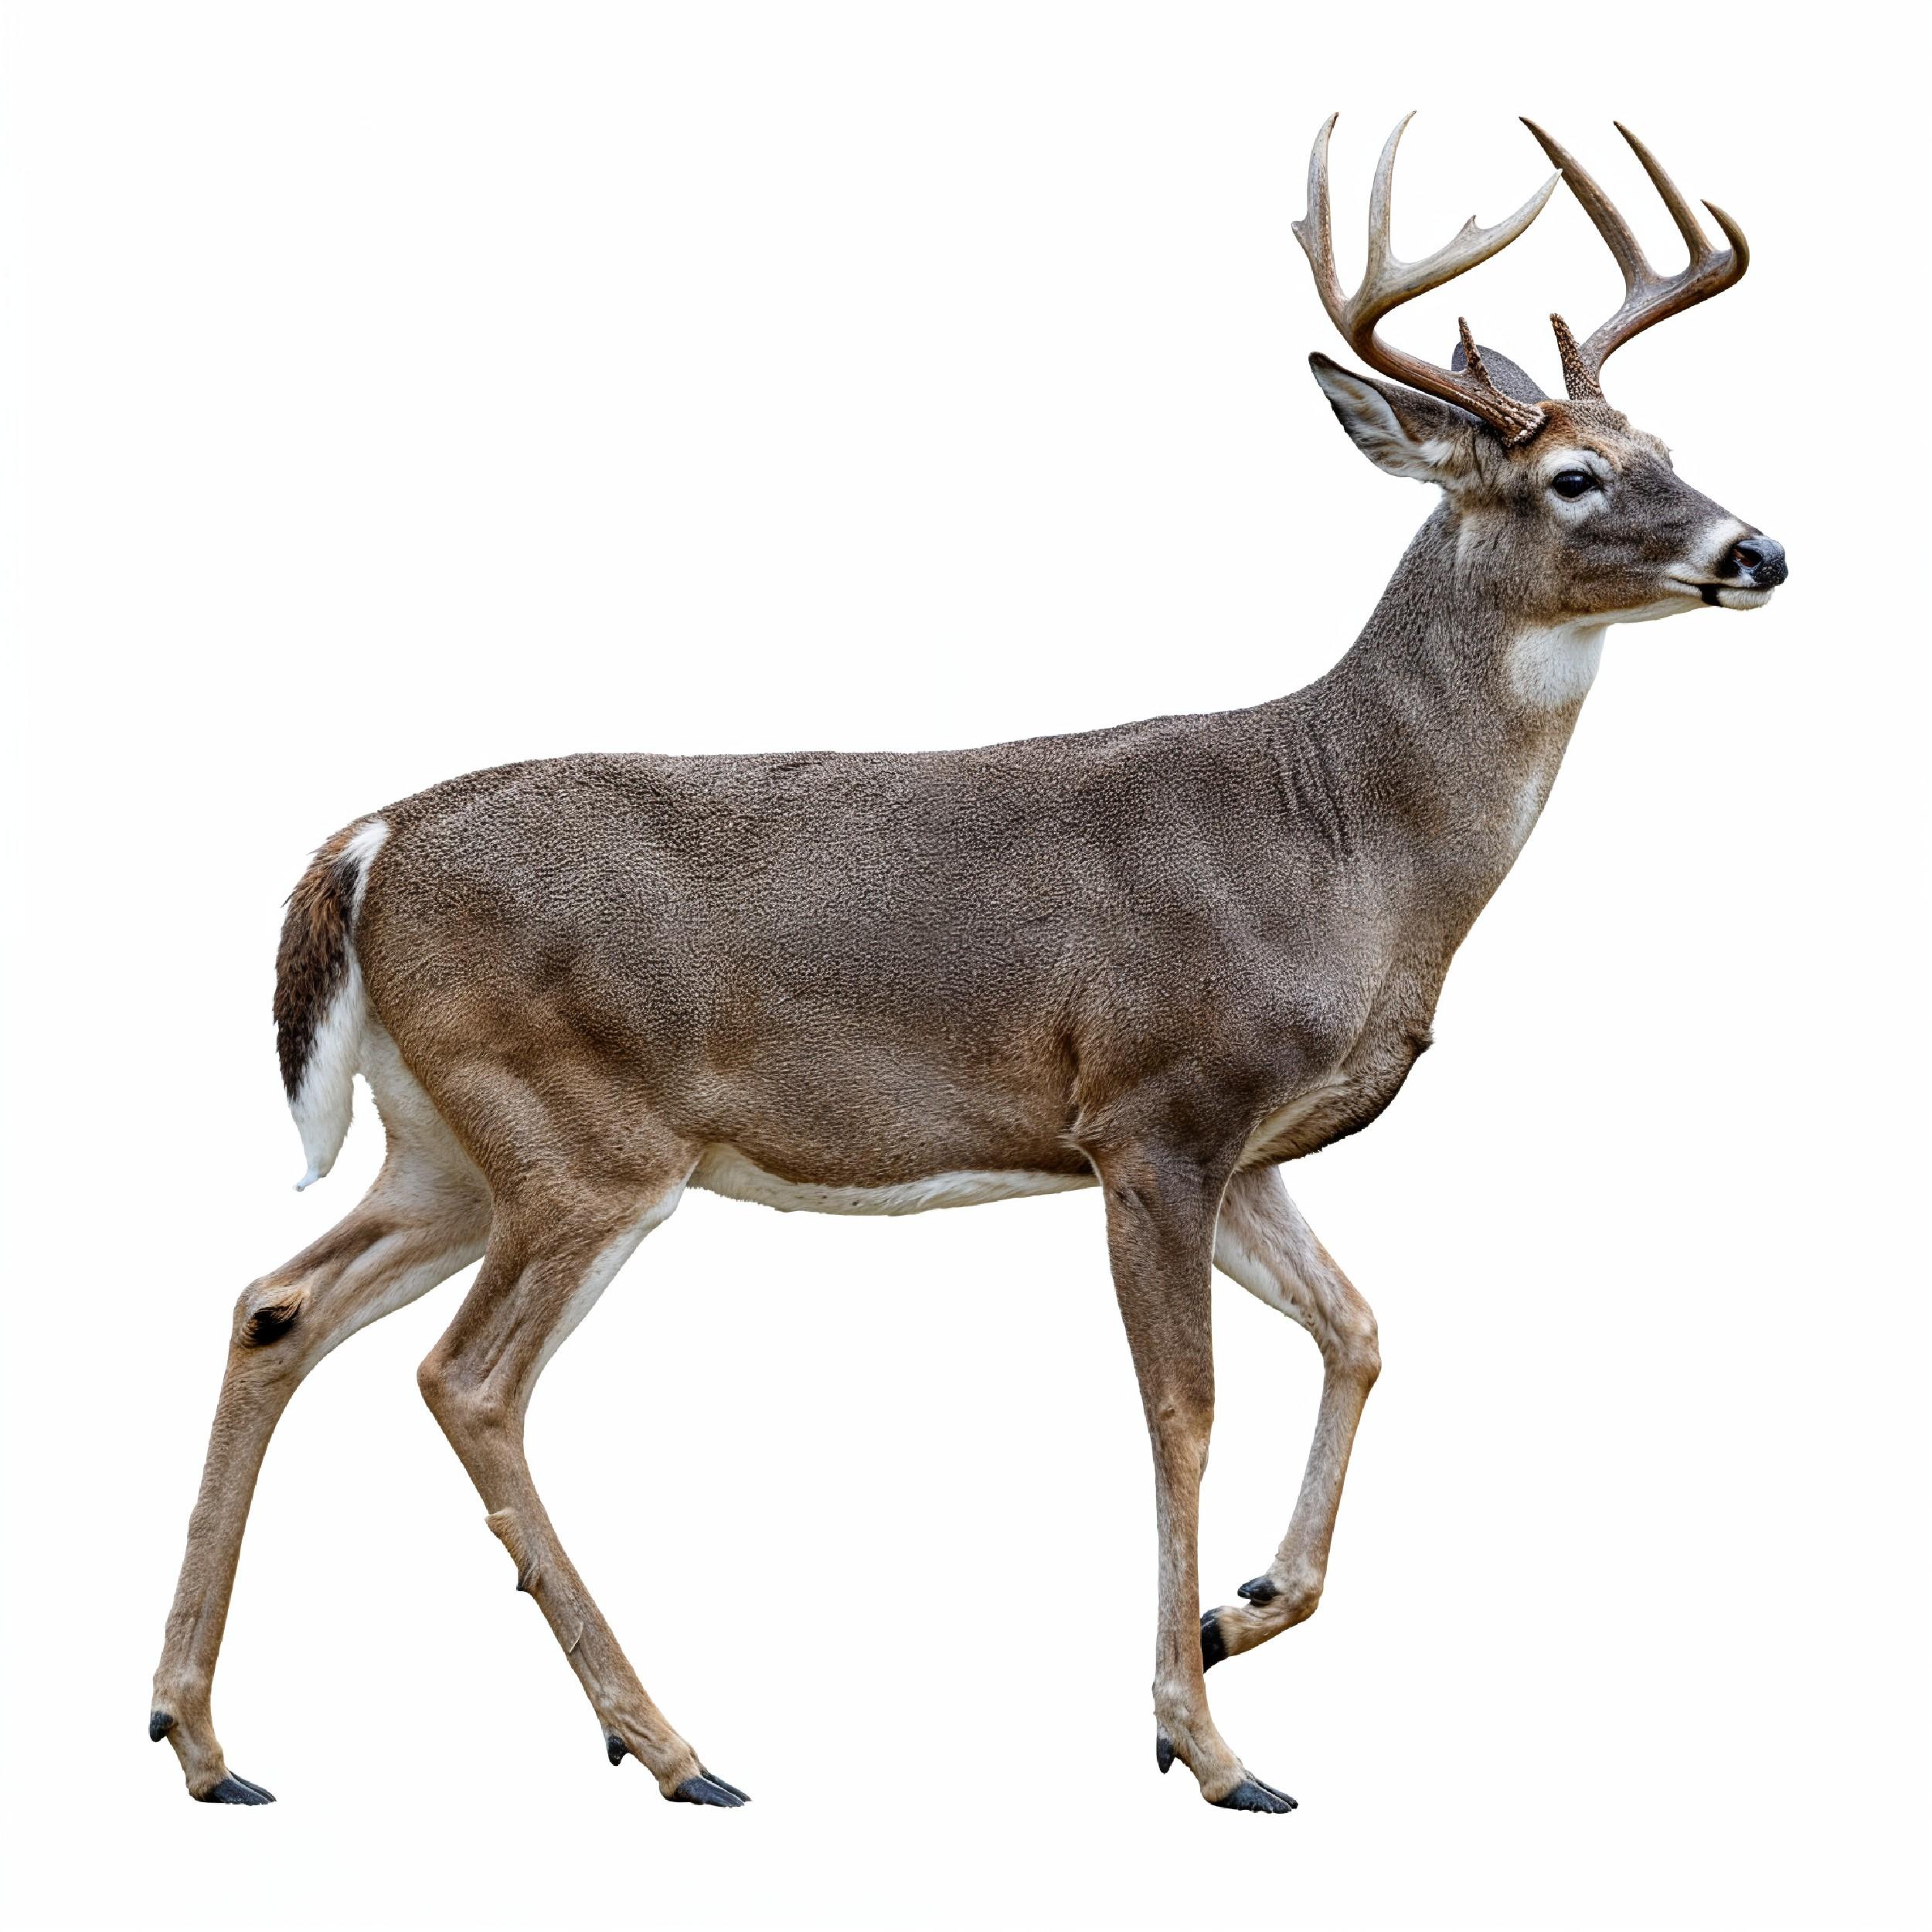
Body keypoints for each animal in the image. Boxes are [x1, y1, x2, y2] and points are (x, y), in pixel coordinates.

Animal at [150, 113, 1787, 1814]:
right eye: (1571, 475)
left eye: (1667, 442)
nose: (1761, 550)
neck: (1347, 838)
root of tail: (370, 840)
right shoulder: (1153, 1107)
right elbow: (1181, 1409)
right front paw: (1203, 1741)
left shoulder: (1248, 1145)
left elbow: (1359, 1329)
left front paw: (1242, 1612)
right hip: (576, 1131)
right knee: (466, 1380)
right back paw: (669, 1745)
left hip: (447, 1138)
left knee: (277, 1304)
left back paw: (203, 1738)